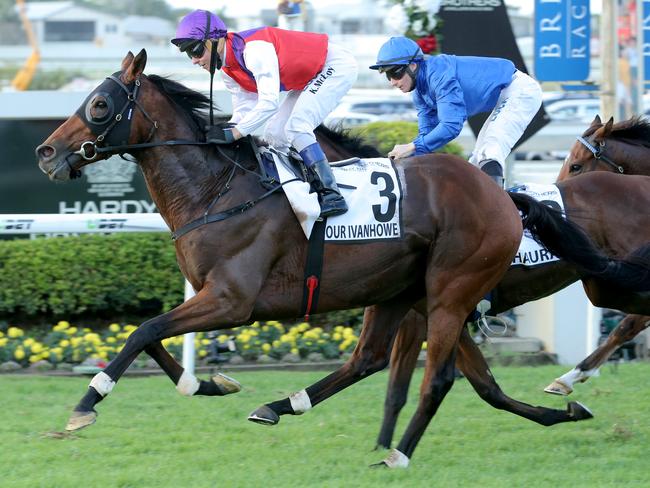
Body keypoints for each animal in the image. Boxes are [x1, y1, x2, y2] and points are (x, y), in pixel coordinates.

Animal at [35, 51, 648, 468]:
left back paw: (398, 449)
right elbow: (155, 337)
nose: (46, 152)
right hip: (413, 294)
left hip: (467, 288)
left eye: (99, 105)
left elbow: (143, 331)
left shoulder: (232, 300)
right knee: (378, 362)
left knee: (438, 375)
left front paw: (85, 405)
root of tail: (504, 201)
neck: (220, 190)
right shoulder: (221, 298)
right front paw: (208, 385)